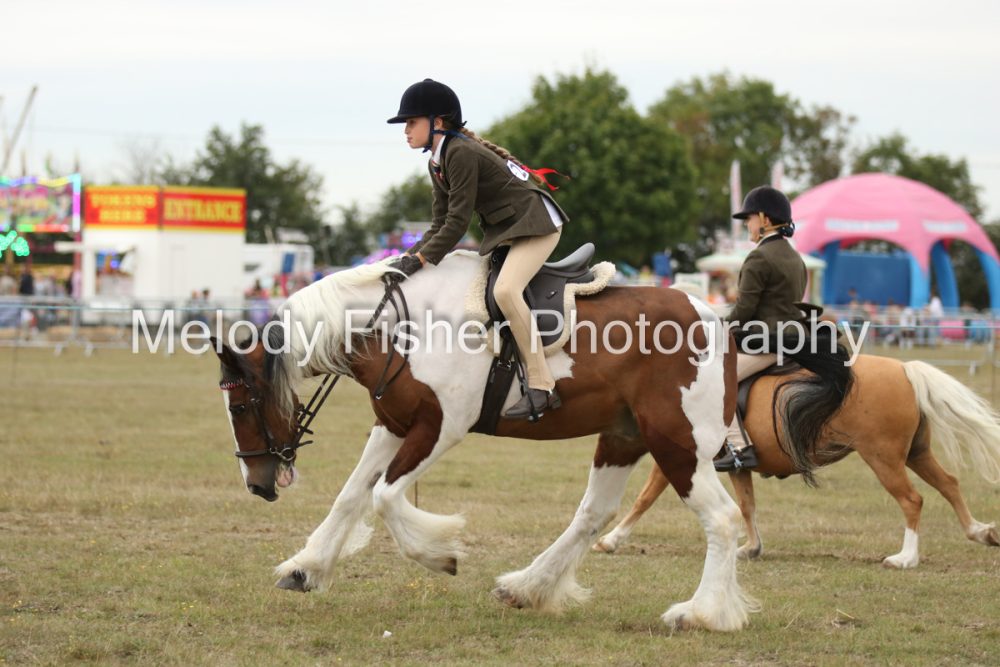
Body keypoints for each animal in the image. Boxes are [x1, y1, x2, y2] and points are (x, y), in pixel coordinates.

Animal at [211, 250, 769, 631]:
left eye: (239, 407)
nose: (256, 484)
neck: (396, 325)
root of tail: (713, 318)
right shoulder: (393, 425)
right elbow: (351, 495)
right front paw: (306, 568)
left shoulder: (440, 427)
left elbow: (386, 496)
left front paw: (439, 553)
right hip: (623, 437)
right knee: (592, 515)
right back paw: (527, 587)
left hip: (678, 444)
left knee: (721, 519)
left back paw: (701, 613)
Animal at [593, 354, 1000, 568]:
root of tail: (904, 368)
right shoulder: (735, 465)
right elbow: (747, 505)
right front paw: (750, 548)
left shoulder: (681, 459)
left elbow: (644, 498)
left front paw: (610, 541)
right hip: (916, 454)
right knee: (949, 484)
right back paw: (980, 532)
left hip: (883, 458)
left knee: (912, 500)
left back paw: (905, 557)